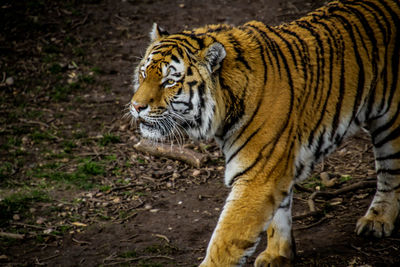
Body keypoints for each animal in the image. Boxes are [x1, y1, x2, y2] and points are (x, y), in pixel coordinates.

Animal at [129, 0, 400, 266]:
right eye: (143, 74)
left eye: (169, 82)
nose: (136, 106)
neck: (226, 105)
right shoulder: (273, 170)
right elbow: (278, 215)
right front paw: (278, 254)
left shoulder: (258, 175)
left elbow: (226, 241)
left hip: (390, 124)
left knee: (390, 173)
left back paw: (378, 220)